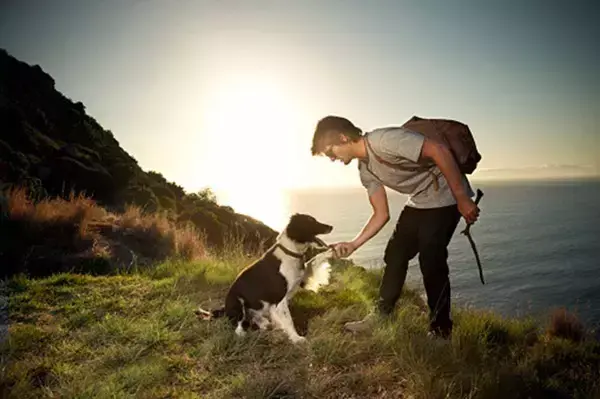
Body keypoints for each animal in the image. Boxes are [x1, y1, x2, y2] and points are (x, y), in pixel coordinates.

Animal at [199, 216, 336, 344]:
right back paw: (245, 333)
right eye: (310, 221)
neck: (290, 252)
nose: (331, 227)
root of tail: (225, 308)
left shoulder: (301, 279)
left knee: (253, 316)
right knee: (238, 324)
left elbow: (314, 260)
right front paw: (296, 338)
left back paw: (264, 322)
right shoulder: (280, 300)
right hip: (237, 301)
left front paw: (330, 252)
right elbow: (289, 320)